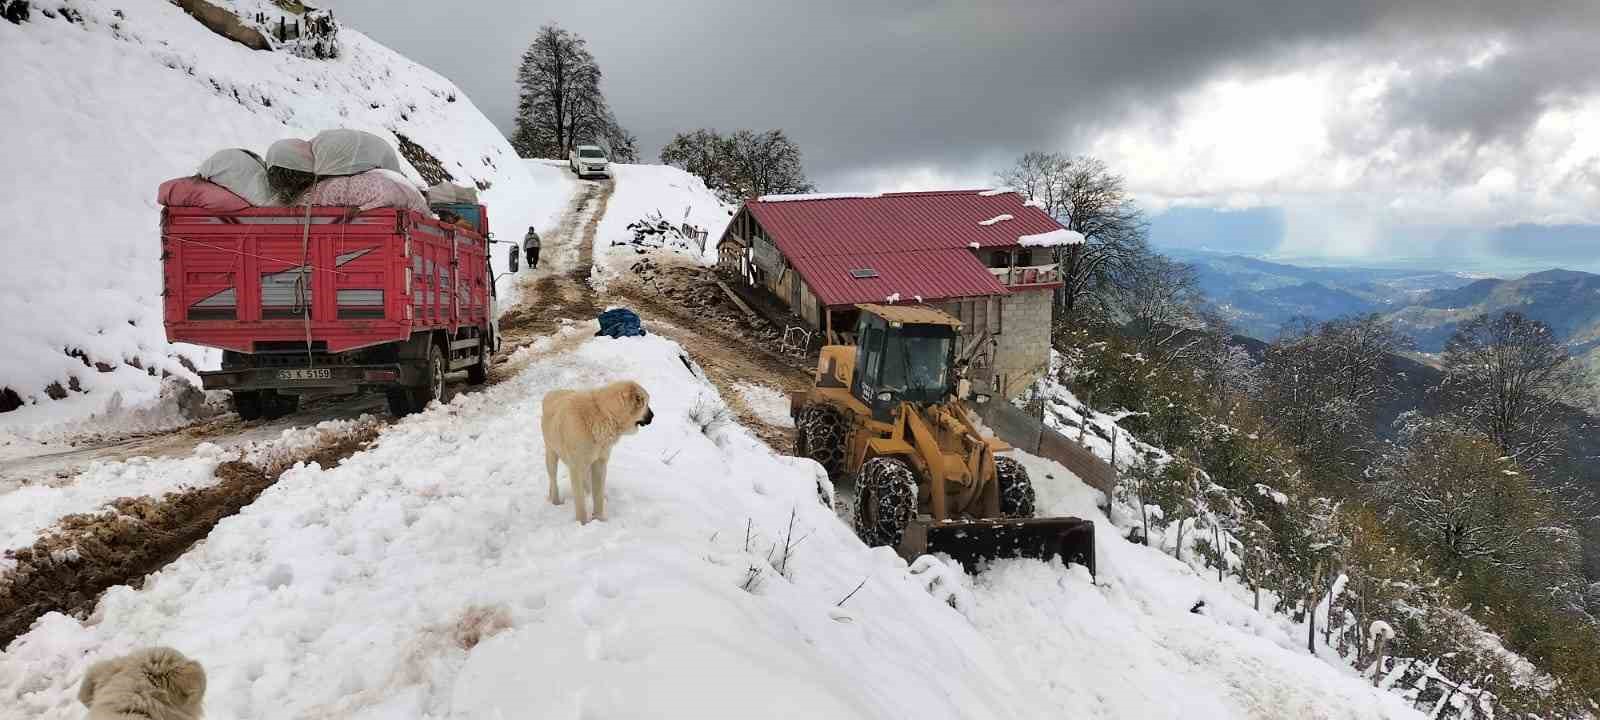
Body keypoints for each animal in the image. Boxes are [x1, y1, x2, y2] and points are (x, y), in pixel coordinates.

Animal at [544, 377, 656, 521]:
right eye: (645, 403)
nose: (653, 416)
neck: (603, 414)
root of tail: (552, 393)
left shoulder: (600, 463)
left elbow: (598, 495)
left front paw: (599, 519)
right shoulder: (576, 467)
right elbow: (580, 502)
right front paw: (582, 523)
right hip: (551, 454)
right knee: (553, 480)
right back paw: (555, 501)